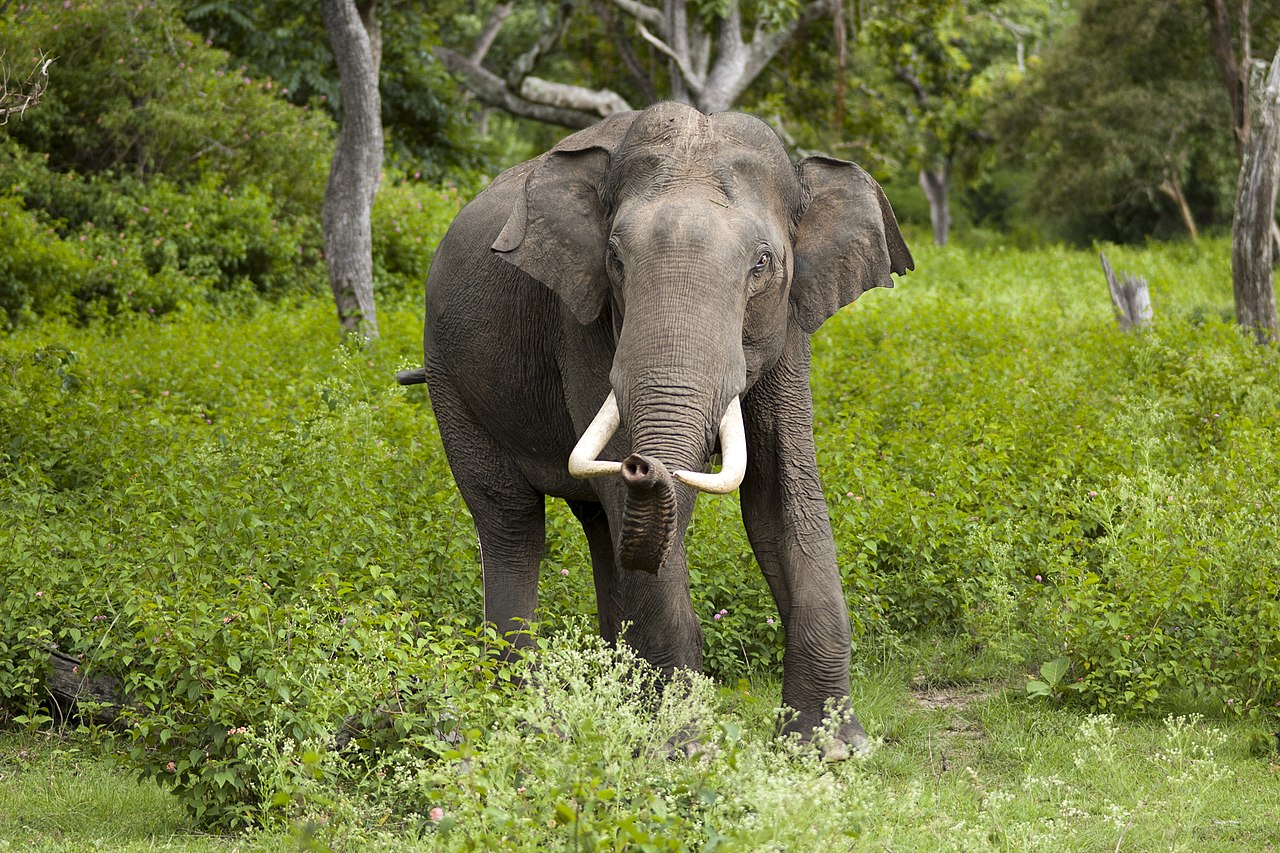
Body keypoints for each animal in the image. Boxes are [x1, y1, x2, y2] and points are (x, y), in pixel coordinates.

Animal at [399, 101, 911, 758]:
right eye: (616, 260)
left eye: (762, 264)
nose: (645, 465)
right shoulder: (582, 321)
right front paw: (683, 750)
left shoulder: (790, 323)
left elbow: (780, 494)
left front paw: (830, 749)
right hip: (450, 382)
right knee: (511, 521)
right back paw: (527, 717)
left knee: (600, 528)